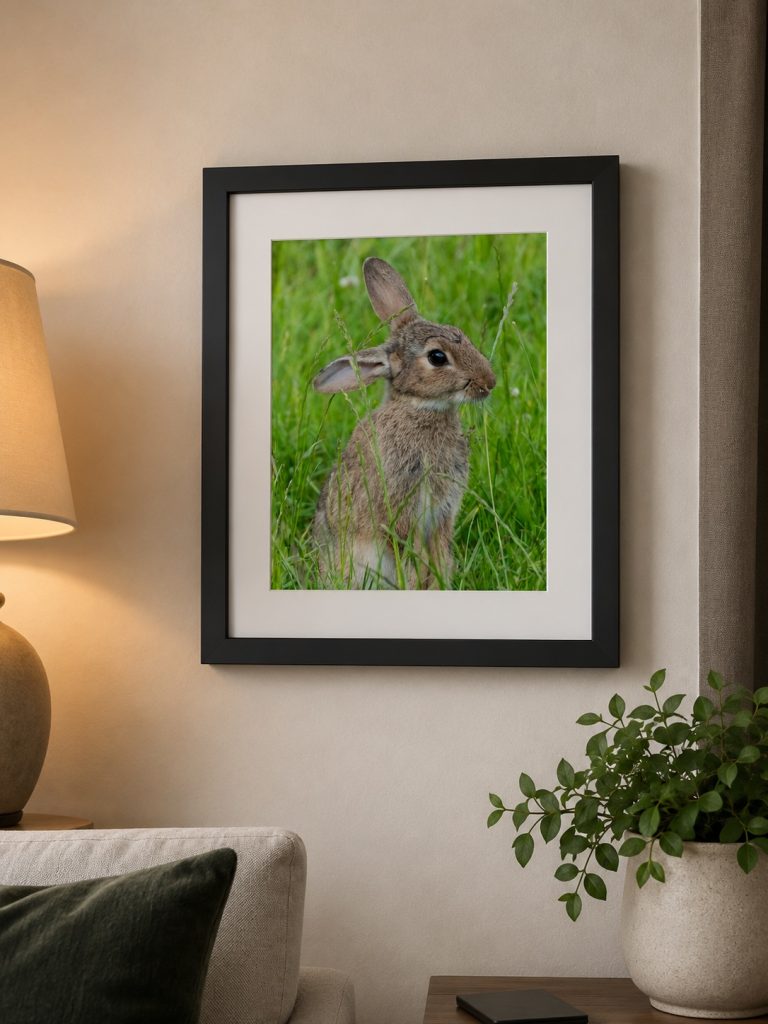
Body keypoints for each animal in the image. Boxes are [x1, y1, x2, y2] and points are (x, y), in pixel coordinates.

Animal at [311, 256, 496, 589]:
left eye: (458, 330)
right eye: (437, 357)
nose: (489, 382)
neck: (419, 408)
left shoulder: (442, 513)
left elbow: (439, 549)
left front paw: (440, 580)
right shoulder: (401, 508)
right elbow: (410, 550)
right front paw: (421, 581)